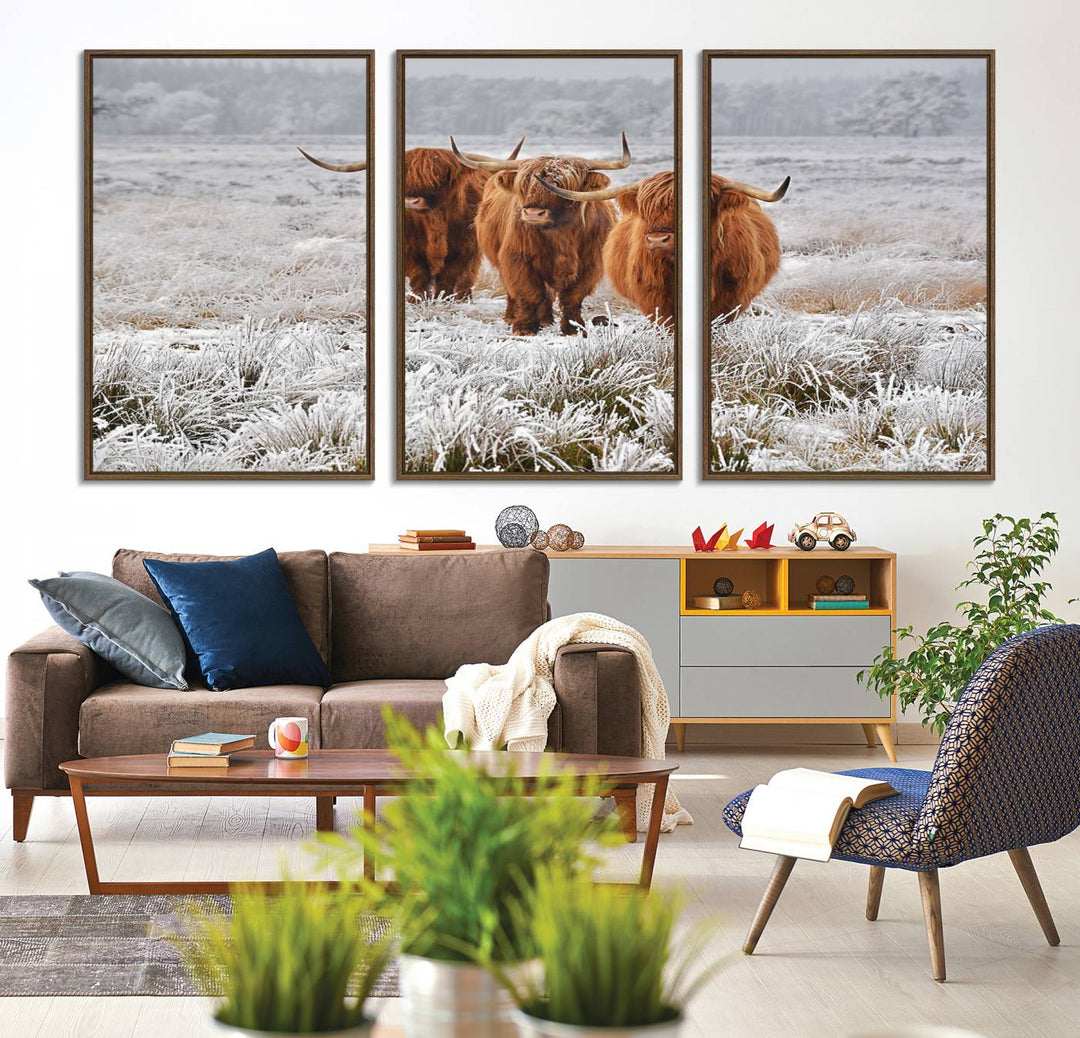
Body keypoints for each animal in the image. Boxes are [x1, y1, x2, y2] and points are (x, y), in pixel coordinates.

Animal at [449, 133, 630, 336]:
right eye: (525, 184)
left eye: (561, 185)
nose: (533, 213)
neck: (562, 236)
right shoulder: (517, 258)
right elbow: (529, 293)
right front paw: (524, 327)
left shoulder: (590, 264)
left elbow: (573, 296)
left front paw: (574, 327)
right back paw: (514, 317)